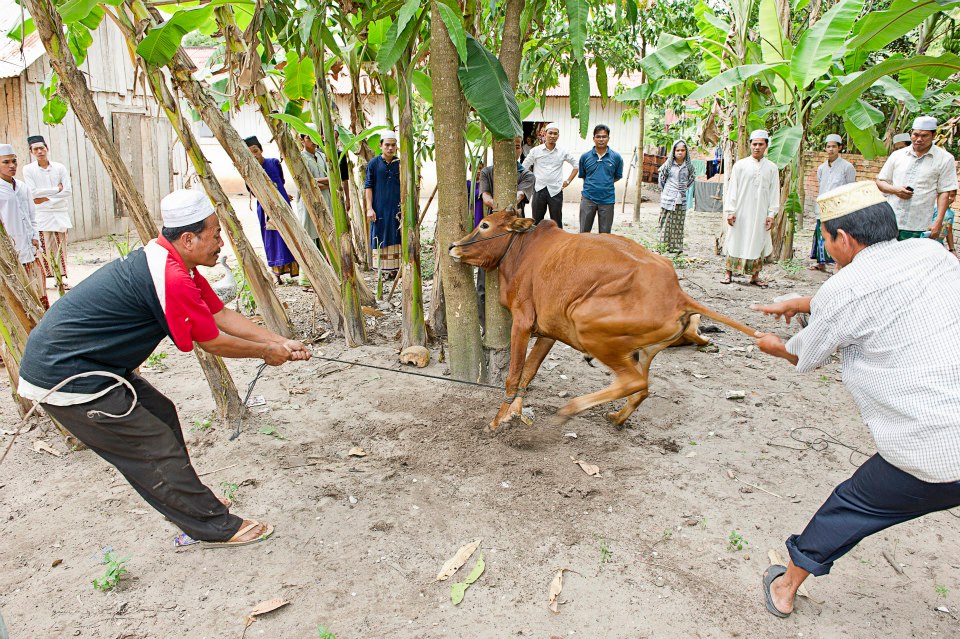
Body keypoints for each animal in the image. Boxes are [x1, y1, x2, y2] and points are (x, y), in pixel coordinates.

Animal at [448, 211, 756, 430]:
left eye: (485, 225)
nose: (453, 246)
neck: (521, 250)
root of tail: (678, 294)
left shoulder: (522, 323)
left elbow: (513, 376)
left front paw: (498, 420)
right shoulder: (548, 331)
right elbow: (528, 373)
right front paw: (515, 413)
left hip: (589, 328)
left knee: (633, 382)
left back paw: (570, 409)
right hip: (646, 350)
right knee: (642, 388)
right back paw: (617, 418)